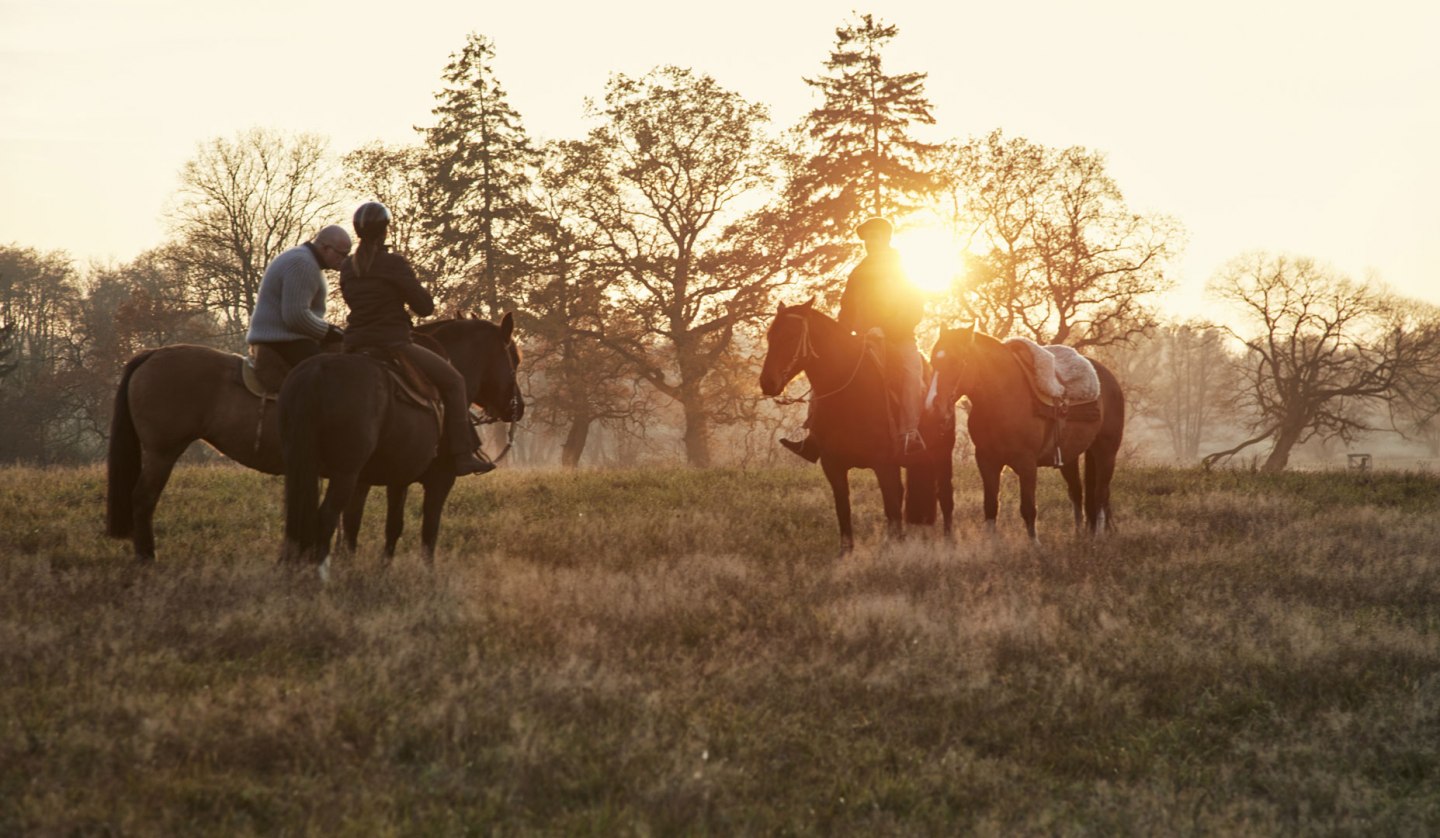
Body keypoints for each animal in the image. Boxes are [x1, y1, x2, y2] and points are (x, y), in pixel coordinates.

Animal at [106, 316, 521, 564]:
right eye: (513, 357)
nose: (516, 407)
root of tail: (151, 355)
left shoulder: (383, 477)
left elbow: (375, 526)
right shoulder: (436, 480)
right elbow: (425, 531)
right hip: (162, 451)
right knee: (142, 500)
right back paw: (148, 560)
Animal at [760, 303, 950, 558]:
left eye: (791, 336)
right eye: (770, 336)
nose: (767, 382)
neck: (850, 395)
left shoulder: (884, 465)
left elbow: (891, 506)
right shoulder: (833, 465)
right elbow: (843, 507)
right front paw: (846, 553)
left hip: (940, 457)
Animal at [927, 325, 1128, 541]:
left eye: (955, 361)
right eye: (933, 361)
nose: (933, 407)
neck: (1002, 396)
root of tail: (1106, 378)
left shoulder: (1027, 464)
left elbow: (1028, 508)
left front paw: (1034, 544)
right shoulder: (987, 461)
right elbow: (991, 506)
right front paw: (991, 543)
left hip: (1106, 452)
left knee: (1100, 494)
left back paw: (1097, 536)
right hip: (1069, 456)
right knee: (1077, 491)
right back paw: (1079, 534)